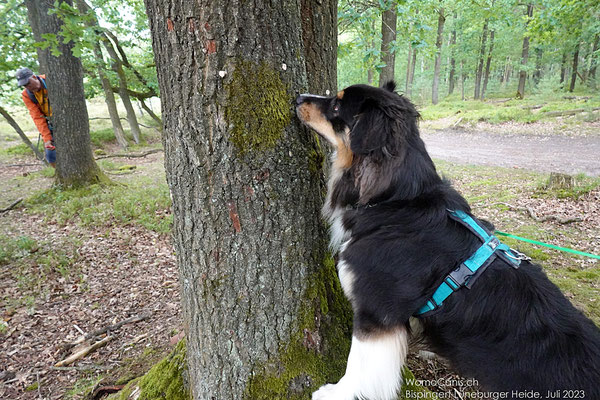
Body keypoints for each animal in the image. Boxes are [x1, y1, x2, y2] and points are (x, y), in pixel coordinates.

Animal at [296, 82, 600, 400]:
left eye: (336, 106)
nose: (298, 98)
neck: (395, 201)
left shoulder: (375, 309)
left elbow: (360, 364)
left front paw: (336, 392)